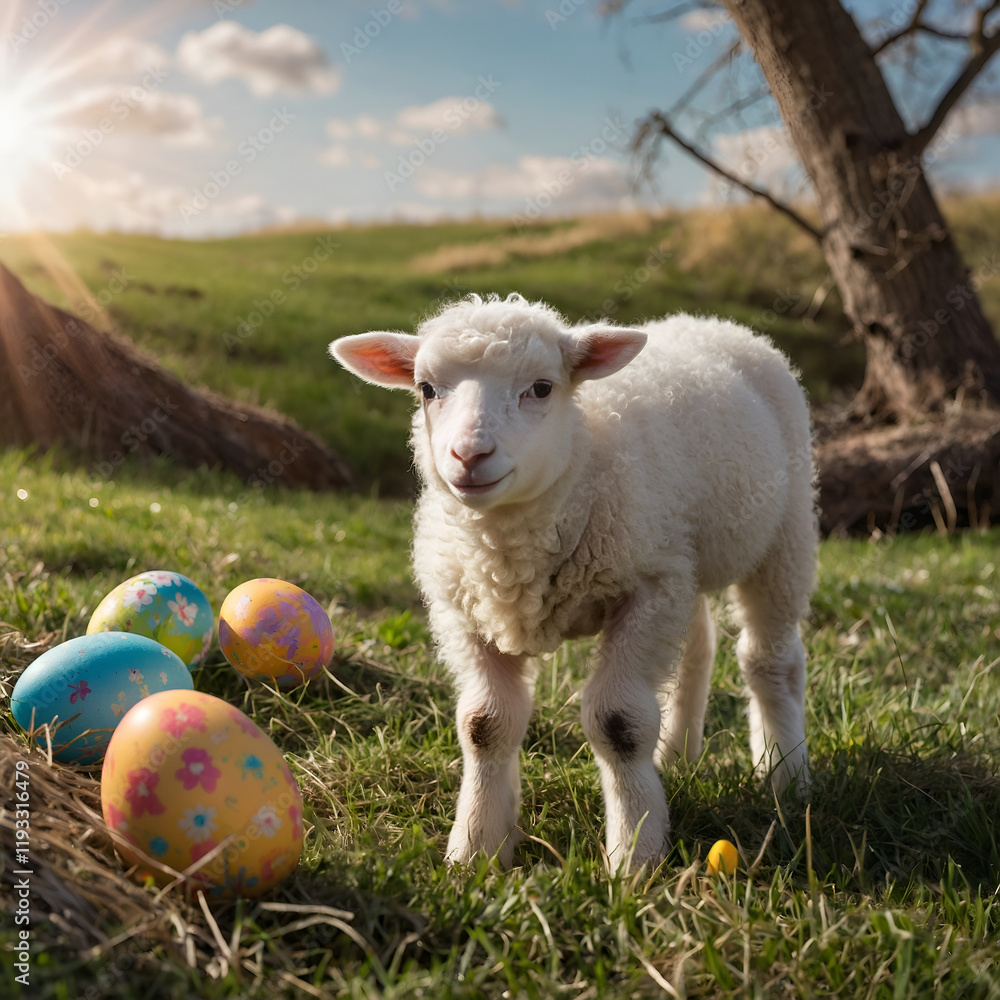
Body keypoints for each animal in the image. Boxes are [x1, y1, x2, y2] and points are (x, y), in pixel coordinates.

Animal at [330, 292, 817, 872]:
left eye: (542, 387)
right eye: (426, 389)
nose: (469, 456)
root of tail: (708, 321)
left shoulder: (646, 587)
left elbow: (619, 722)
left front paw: (634, 856)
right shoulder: (462, 608)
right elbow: (483, 725)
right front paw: (475, 850)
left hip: (782, 538)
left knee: (770, 661)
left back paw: (785, 776)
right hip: (681, 553)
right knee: (697, 645)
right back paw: (678, 755)